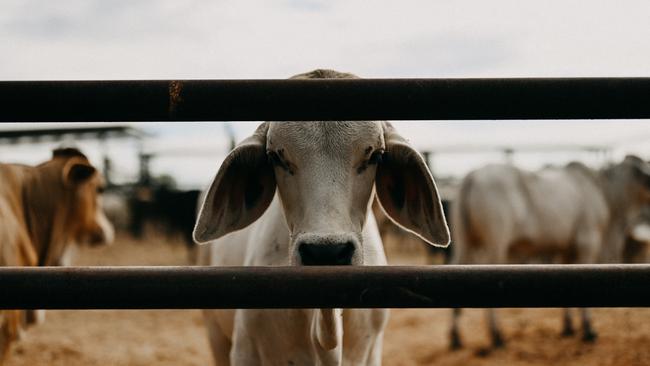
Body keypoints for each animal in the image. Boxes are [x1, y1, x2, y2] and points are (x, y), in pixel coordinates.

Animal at [446, 156, 648, 350]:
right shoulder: (587, 242)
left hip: (464, 243)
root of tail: (472, 175)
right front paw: (588, 330)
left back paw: (456, 338)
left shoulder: (565, 251)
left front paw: (568, 327)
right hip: (496, 245)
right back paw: (497, 337)